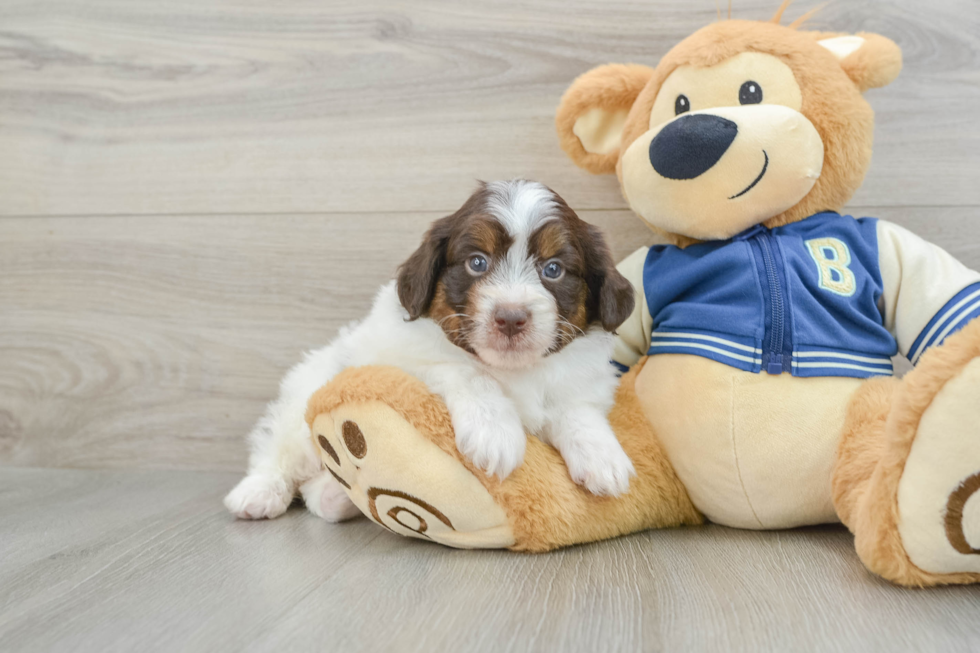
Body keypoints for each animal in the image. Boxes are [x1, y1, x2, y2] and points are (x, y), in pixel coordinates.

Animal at [226, 180, 640, 524]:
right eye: (477, 262)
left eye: (553, 269)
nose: (510, 318)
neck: (514, 371)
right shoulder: (401, 359)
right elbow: (467, 371)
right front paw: (495, 433)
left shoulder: (578, 383)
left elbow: (577, 410)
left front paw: (603, 456)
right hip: (304, 403)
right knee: (279, 451)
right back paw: (258, 493)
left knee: (317, 493)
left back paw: (337, 496)